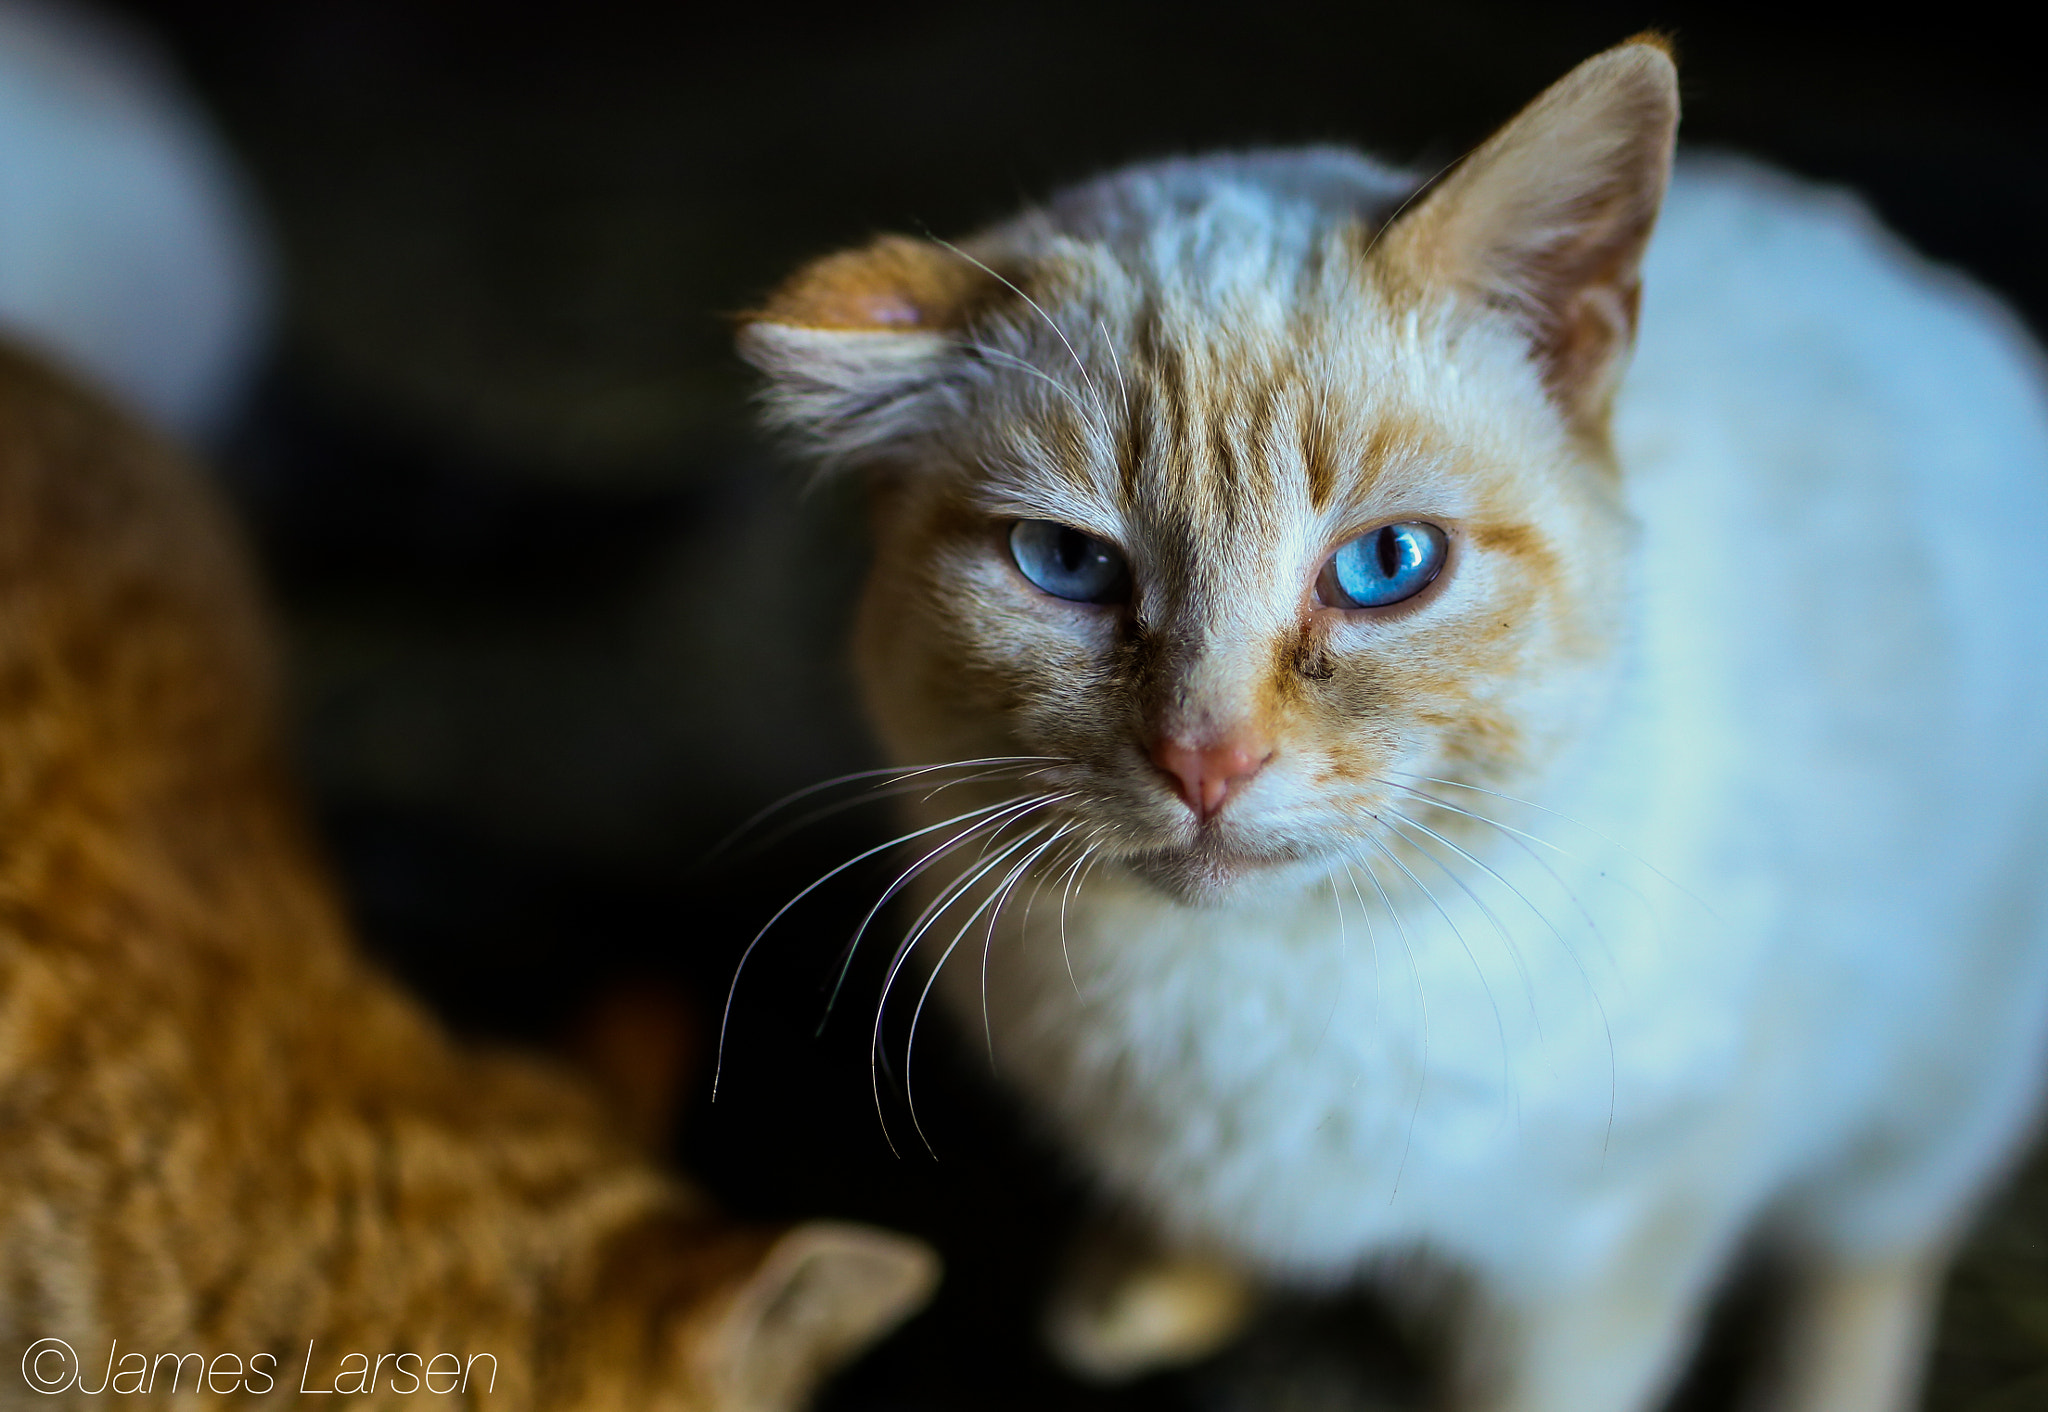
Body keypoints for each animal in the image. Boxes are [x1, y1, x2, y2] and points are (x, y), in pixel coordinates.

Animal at [737, 41, 2048, 1409]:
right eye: (1066, 564)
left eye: (1385, 566)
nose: (1206, 758)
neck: (1257, 995)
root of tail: (1895, 265)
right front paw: (1153, 1270)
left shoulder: (1595, 1254)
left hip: (1942, 1067)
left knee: (1867, 1258)